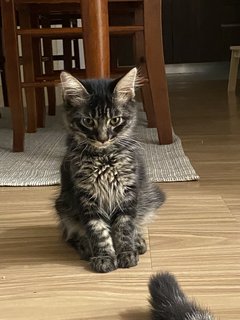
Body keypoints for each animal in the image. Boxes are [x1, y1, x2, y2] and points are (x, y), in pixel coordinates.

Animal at [55, 67, 165, 272]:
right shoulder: (86, 196)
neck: (104, 158)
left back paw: (138, 241)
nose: (103, 138)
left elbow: (124, 227)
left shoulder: (128, 193)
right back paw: (85, 247)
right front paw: (104, 257)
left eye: (114, 120)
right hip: (63, 206)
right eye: (88, 121)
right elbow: (97, 230)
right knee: (71, 234)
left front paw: (126, 253)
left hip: (145, 198)